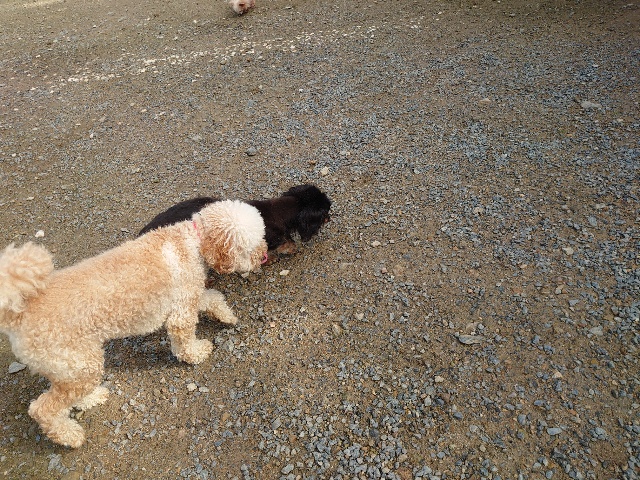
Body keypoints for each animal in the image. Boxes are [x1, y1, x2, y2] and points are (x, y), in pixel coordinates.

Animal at [0, 200, 267, 448]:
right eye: (251, 246)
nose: (264, 255)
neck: (193, 240)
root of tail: (18, 313)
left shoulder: (188, 295)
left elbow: (212, 298)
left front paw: (227, 316)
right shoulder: (181, 310)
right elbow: (185, 339)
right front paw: (198, 352)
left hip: (72, 367)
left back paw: (91, 399)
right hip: (76, 364)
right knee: (43, 409)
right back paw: (70, 436)